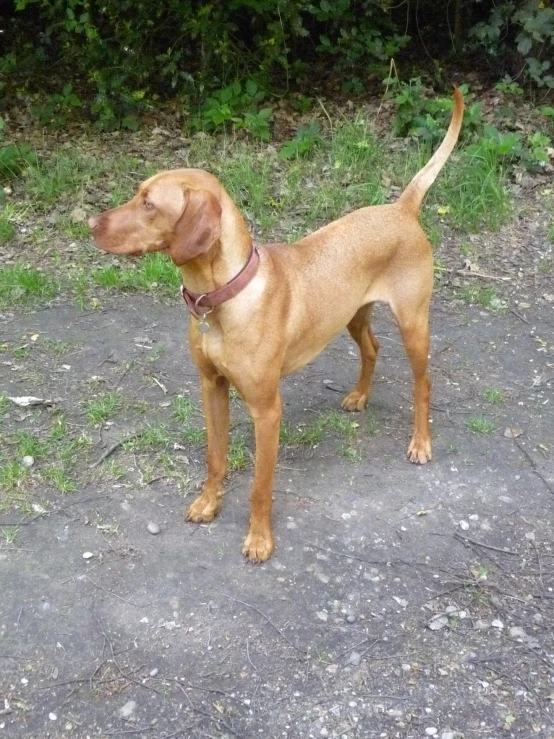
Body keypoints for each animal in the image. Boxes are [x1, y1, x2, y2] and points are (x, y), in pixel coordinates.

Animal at [89, 91, 462, 560]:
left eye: (149, 203)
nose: (89, 224)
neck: (222, 299)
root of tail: (402, 208)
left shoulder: (267, 410)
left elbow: (260, 486)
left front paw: (259, 539)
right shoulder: (212, 388)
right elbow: (215, 458)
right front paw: (208, 504)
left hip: (413, 324)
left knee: (423, 383)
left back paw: (420, 443)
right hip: (351, 316)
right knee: (372, 348)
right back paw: (359, 396)